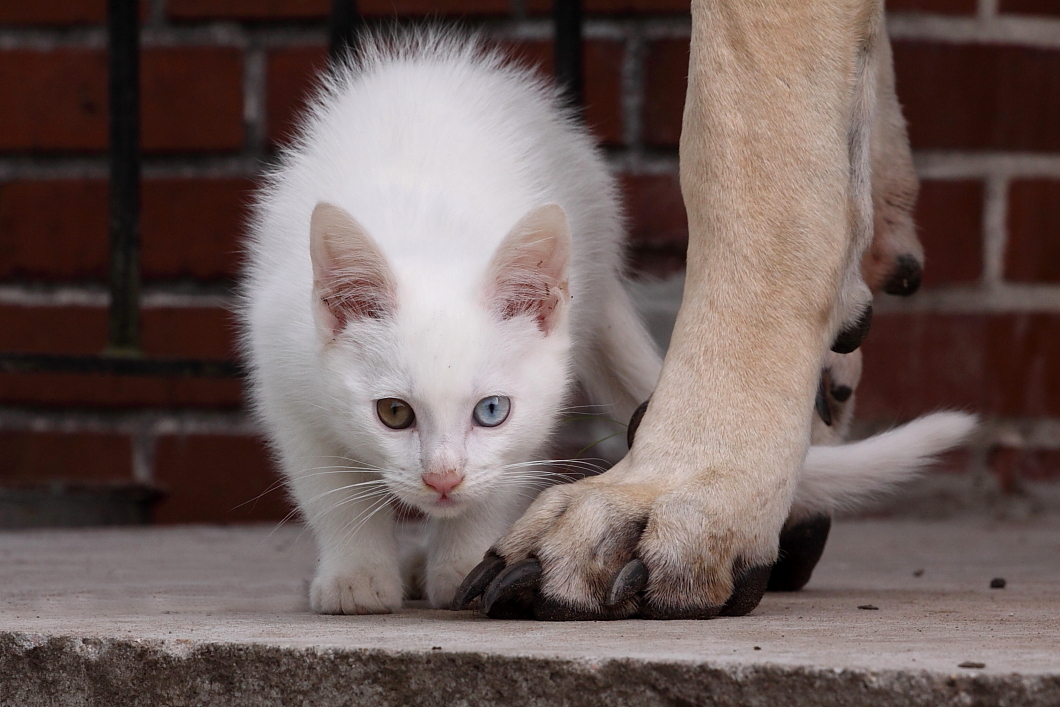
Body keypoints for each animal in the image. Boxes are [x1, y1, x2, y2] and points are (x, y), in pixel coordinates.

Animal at [240, 29, 975, 614]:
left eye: (491, 411)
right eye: (393, 413)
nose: (442, 479)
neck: (431, 238)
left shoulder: (533, 410)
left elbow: (501, 482)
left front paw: (458, 564)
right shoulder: (285, 374)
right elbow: (332, 490)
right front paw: (357, 576)